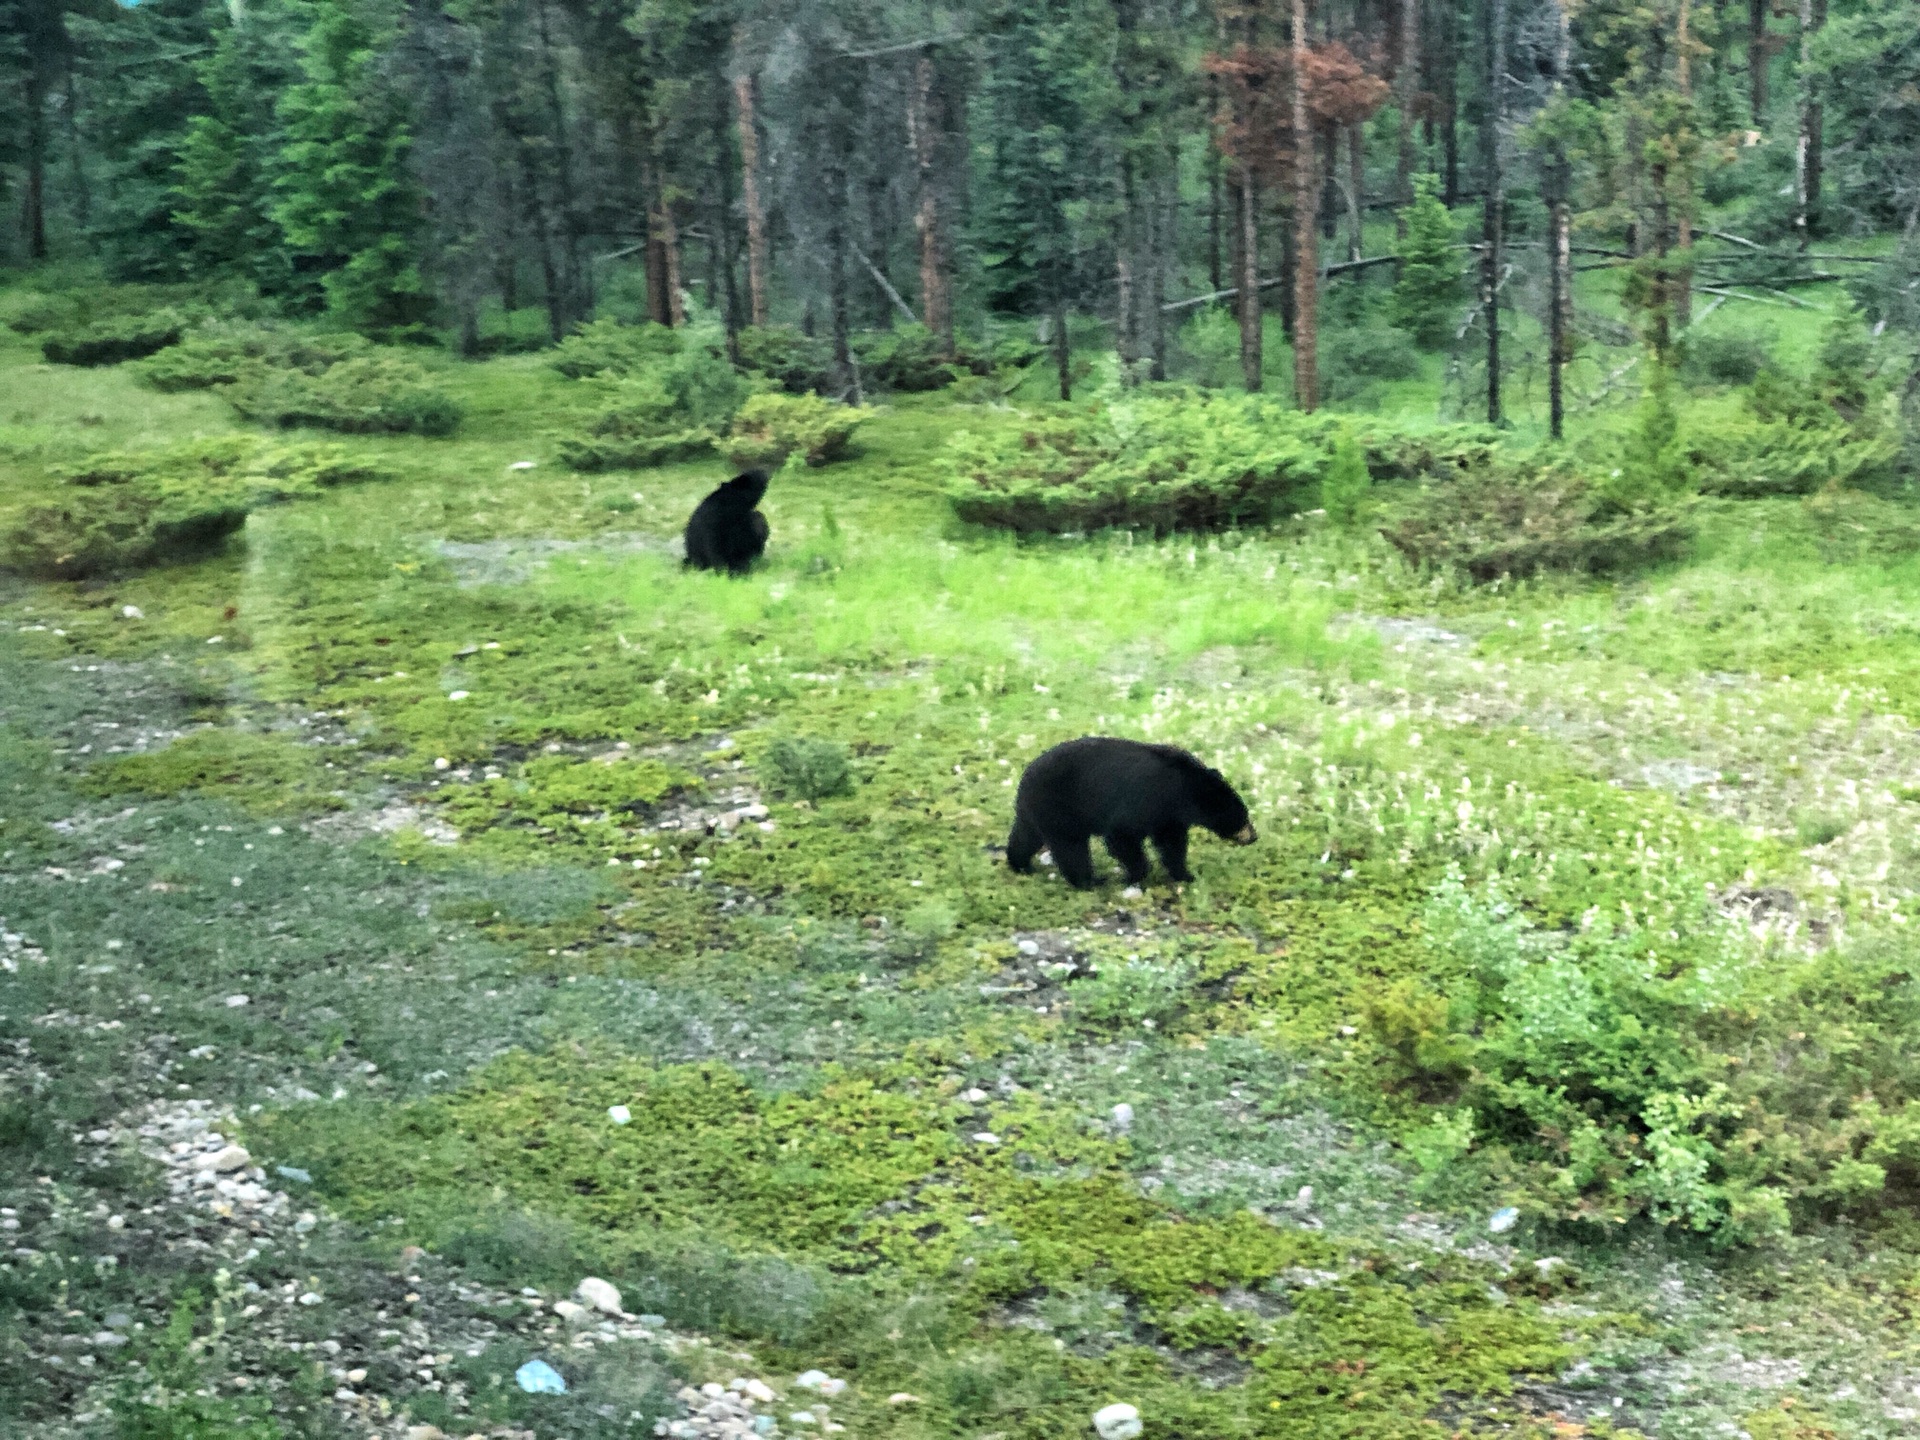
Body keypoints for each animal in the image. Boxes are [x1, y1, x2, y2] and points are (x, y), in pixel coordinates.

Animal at [1006, 744, 1259, 890]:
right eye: (1244, 817)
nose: (1254, 836)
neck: (1184, 788)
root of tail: (1025, 775)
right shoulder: (1146, 799)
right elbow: (1122, 835)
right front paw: (1135, 874)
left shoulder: (1168, 816)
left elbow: (1172, 844)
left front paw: (1185, 874)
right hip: (1060, 806)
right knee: (1071, 847)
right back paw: (1092, 881)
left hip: (1037, 810)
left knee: (1026, 836)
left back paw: (1020, 865)